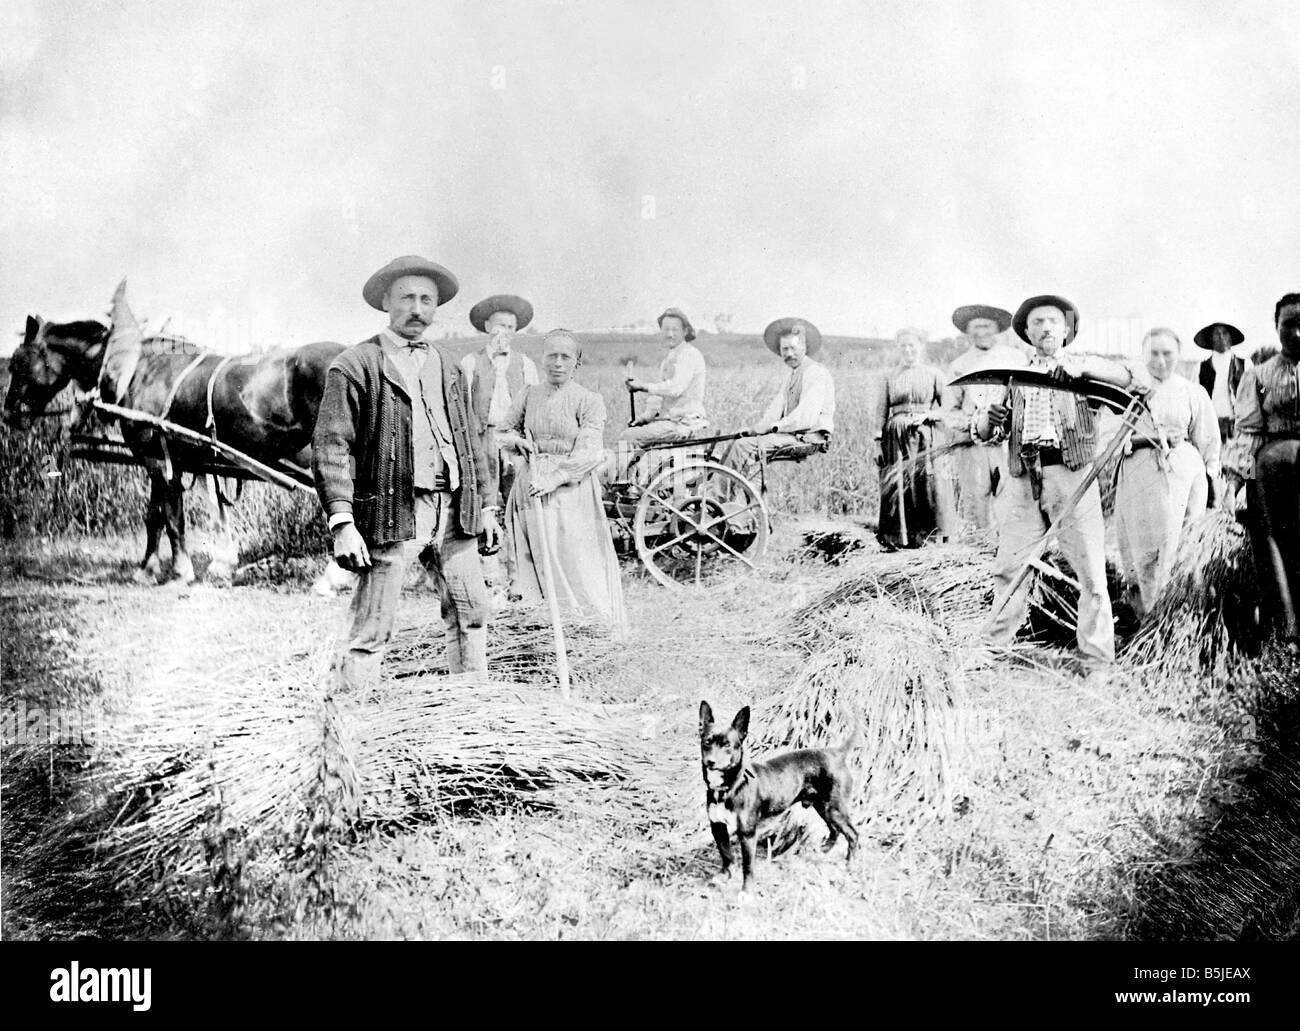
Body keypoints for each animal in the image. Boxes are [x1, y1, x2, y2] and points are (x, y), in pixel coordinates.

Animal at [3, 299, 345, 587]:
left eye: (17, 363)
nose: (9, 414)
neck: (138, 372)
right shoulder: (166, 458)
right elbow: (155, 516)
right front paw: (147, 569)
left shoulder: (156, 458)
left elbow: (172, 517)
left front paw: (181, 571)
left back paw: (332, 577)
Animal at [696, 702, 857, 894]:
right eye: (707, 742)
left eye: (727, 745)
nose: (710, 762)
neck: (729, 787)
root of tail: (837, 753)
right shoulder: (718, 826)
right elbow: (726, 854)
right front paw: (725, 876)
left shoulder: (748, 834)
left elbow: (748, 867)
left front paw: (746, 892)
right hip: (823, 806)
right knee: (835, 830)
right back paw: (824, 850)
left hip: (834, 808)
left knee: (852, 834)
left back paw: (849, 865)